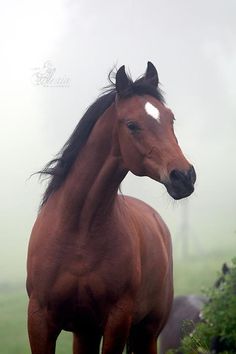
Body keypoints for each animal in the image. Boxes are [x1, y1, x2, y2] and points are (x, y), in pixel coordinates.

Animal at [26, 62, 195, 352]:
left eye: (170, 118)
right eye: (132, 125)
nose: (184, 177)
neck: (78, 231)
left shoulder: (117, 320)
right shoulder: (40, 320)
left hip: (147, 332)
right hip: (85, 333)